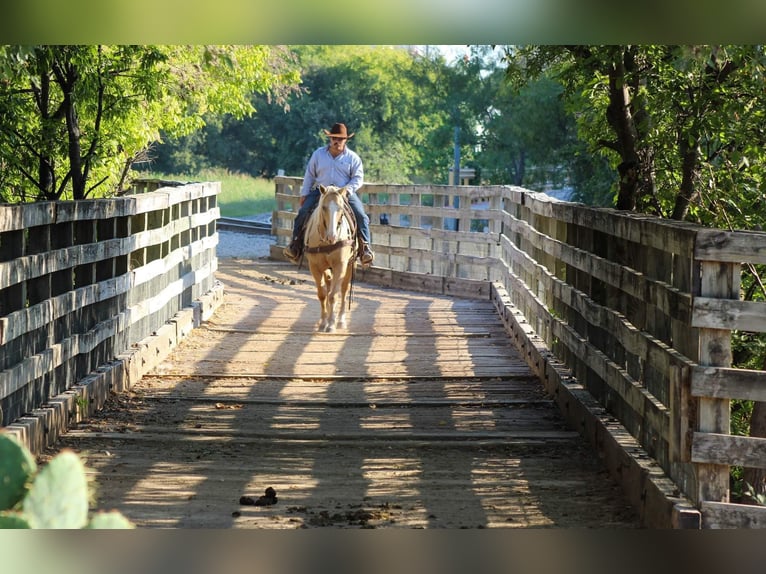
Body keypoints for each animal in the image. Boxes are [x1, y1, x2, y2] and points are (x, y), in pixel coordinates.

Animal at [302, 185, 356, 332]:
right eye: (324, 207)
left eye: (340, 208)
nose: (332, 236)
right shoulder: (314, 267)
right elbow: (322, 294)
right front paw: (323, 322)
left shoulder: (340, 266)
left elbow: (334, 295)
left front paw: (331, 323)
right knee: (328, 285)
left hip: (350, 266)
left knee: (344, 290)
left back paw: (341, 320)